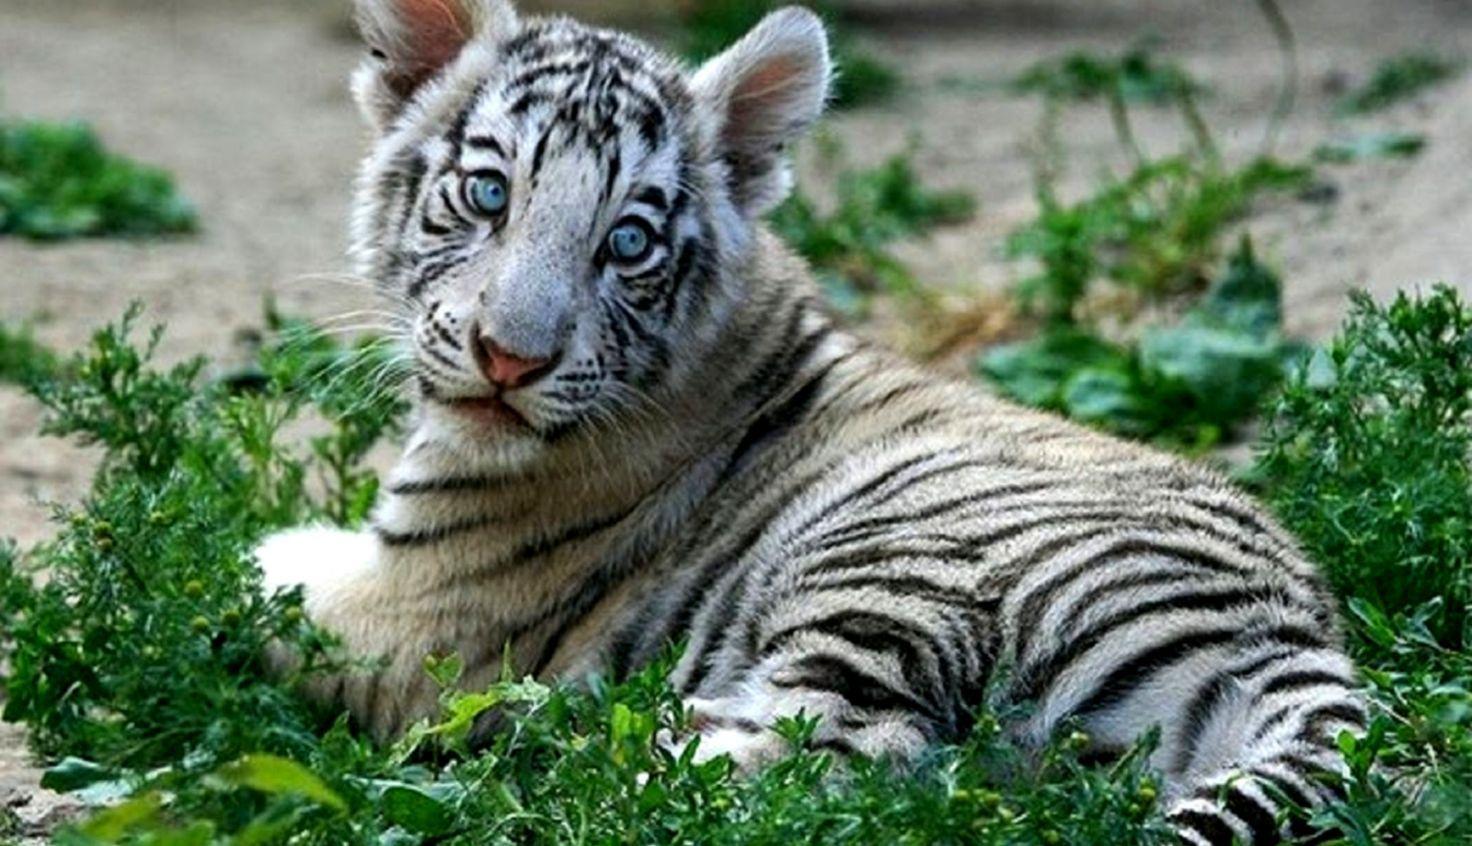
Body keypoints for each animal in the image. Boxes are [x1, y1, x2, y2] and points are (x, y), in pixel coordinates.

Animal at [254, 1, 1368, 842]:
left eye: (627, 242)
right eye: (488, 193)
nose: (510, 360)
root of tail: (1298, 635)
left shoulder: (415, 616)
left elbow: (259, 583)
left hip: (890, 569)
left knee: (827, 759)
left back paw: (571, 758)